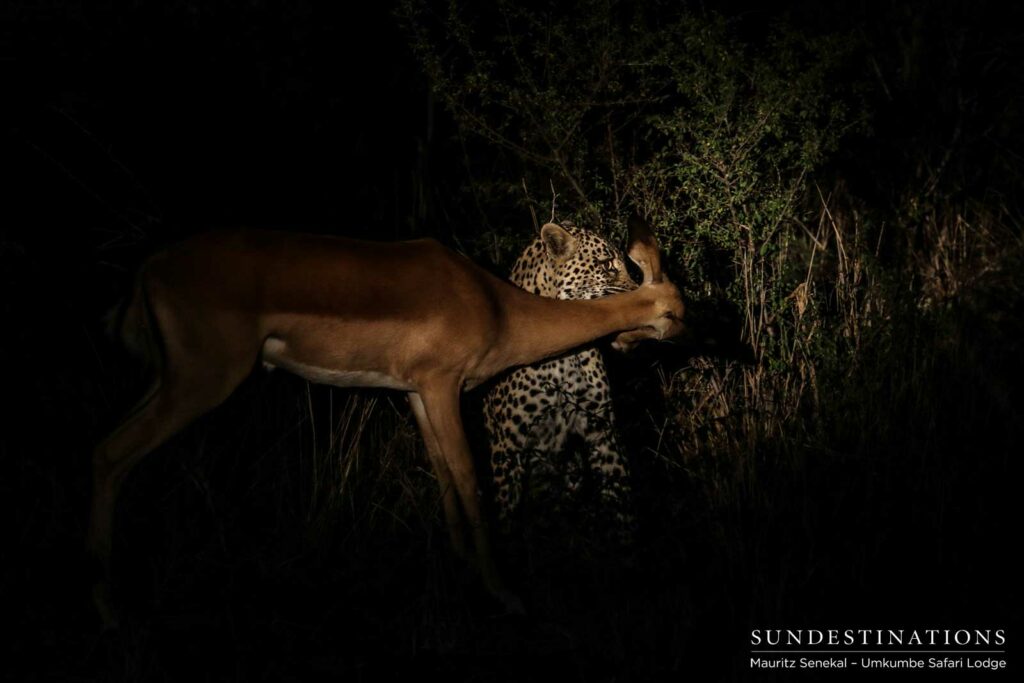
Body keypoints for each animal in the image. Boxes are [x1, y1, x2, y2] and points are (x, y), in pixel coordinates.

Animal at [89, 217, 684, 625]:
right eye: (673, 307)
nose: (681, 331)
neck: (497, 305)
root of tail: (150, 269)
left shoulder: (417, 393)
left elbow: (445, 481)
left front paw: (461, 574)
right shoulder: (443, 386)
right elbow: (470, 479)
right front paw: (506, 595)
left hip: (169, 378)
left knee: (105, 448)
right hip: (203, 379)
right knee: (111, 453)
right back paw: (108, 611)